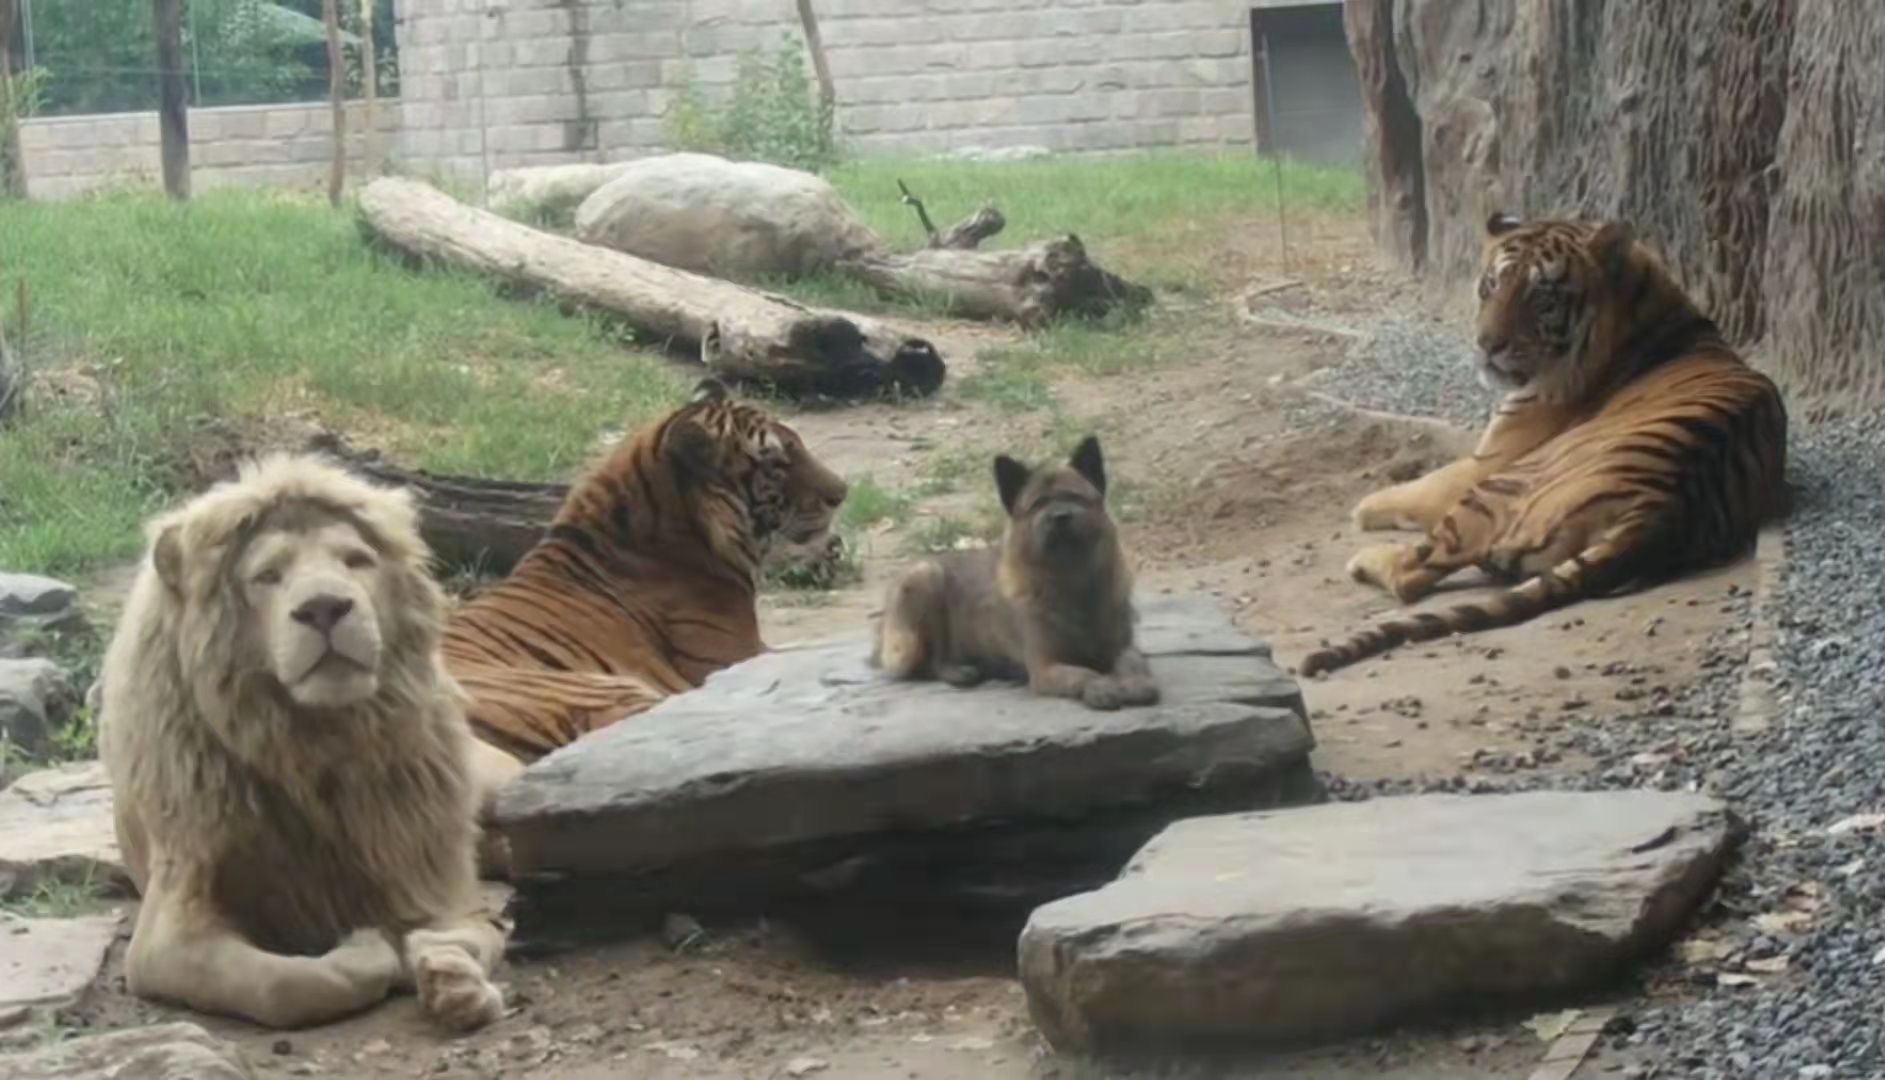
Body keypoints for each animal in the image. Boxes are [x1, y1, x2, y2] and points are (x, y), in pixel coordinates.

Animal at [1297, 211, 1787, 678]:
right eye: (1492, 285)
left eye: (1541, 298)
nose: (1487, 344)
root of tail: (1660, 512)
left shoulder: (1488, 460)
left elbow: (1420, 486)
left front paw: (1363, 507)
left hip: (1496, 489)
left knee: (1413, 573)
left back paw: (1365, 561)